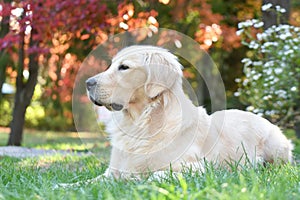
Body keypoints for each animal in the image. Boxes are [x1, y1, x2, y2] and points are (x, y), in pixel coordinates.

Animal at [85, 45, 292, 178]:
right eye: (112, 65)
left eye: (124, 67)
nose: (87, 83)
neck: (141, 123)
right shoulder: (113, 171)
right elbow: (89, 181)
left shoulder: (199, 167)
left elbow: (156, 175)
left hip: (275, 146)